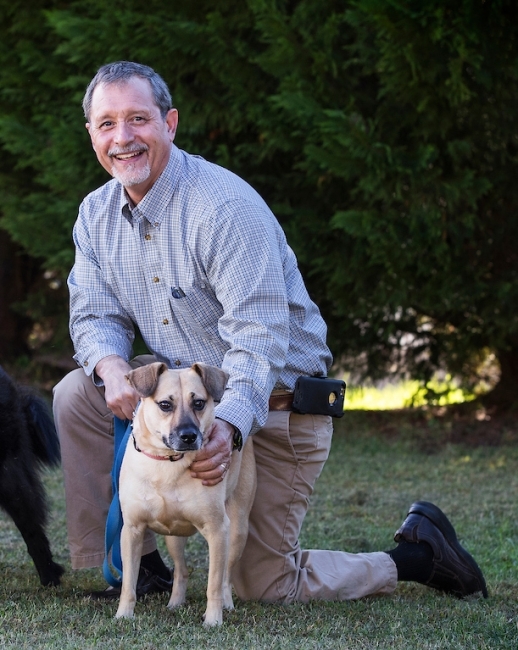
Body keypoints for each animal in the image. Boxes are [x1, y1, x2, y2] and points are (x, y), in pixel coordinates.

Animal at [116, 360, 258, 624]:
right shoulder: (131, 530)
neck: (167, 463)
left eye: (199, 403)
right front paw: (123, 615)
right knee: (181, 570)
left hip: (237, 530)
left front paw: (213, 620)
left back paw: (227, 603)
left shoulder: (217, 529)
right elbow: (128, 583)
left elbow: (213, 584)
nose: (189, 436)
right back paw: (175, 602)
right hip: (173, 537)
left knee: (226, 576)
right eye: (165, 404)